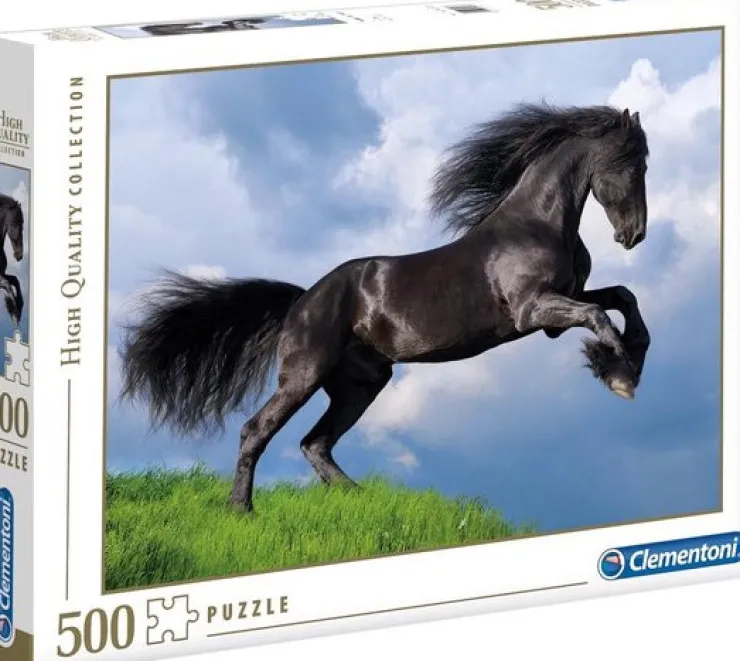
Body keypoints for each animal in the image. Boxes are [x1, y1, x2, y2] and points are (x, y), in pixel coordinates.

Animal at [118, 102, 651, 513]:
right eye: (632, 165)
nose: (634, 235)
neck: (536, 224)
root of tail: (301, 301)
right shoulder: (532, 310)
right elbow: (601, 317)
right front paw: (619, 375)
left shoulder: (559, 308)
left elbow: (622, 300)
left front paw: (625, 364)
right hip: (304, 375)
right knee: (257, 430)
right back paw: (241, 510)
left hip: (361, 383)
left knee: (316, 443)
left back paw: (359, 499)